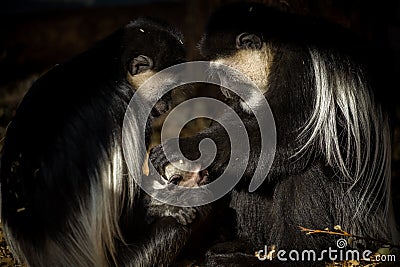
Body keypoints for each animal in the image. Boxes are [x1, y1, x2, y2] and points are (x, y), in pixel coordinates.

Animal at [151, 3, 400, 266]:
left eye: (226, 75)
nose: (225, 93)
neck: (274, 51)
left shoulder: (299, 66)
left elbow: (288, 137)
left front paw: (186, 147)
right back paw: (243, 247)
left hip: (348, 219)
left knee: (305, 172)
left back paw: (287, 256)